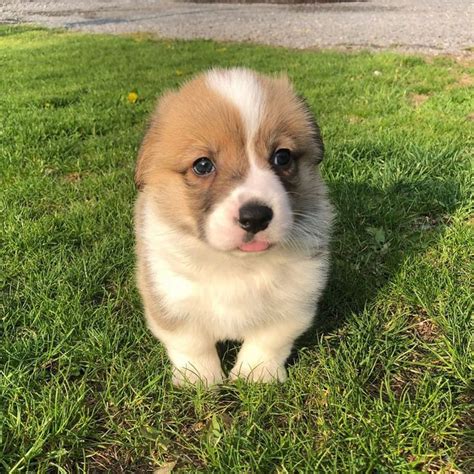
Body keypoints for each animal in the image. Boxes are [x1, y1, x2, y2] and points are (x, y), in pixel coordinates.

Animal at [133, 66, 334, 386]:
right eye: (203, 165)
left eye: (282, 157)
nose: (255, 217)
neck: (237, 265)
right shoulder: (170, 295)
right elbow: (191, 344)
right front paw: (200, 381)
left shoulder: (293, 301)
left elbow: (267, 341)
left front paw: (256, 376)